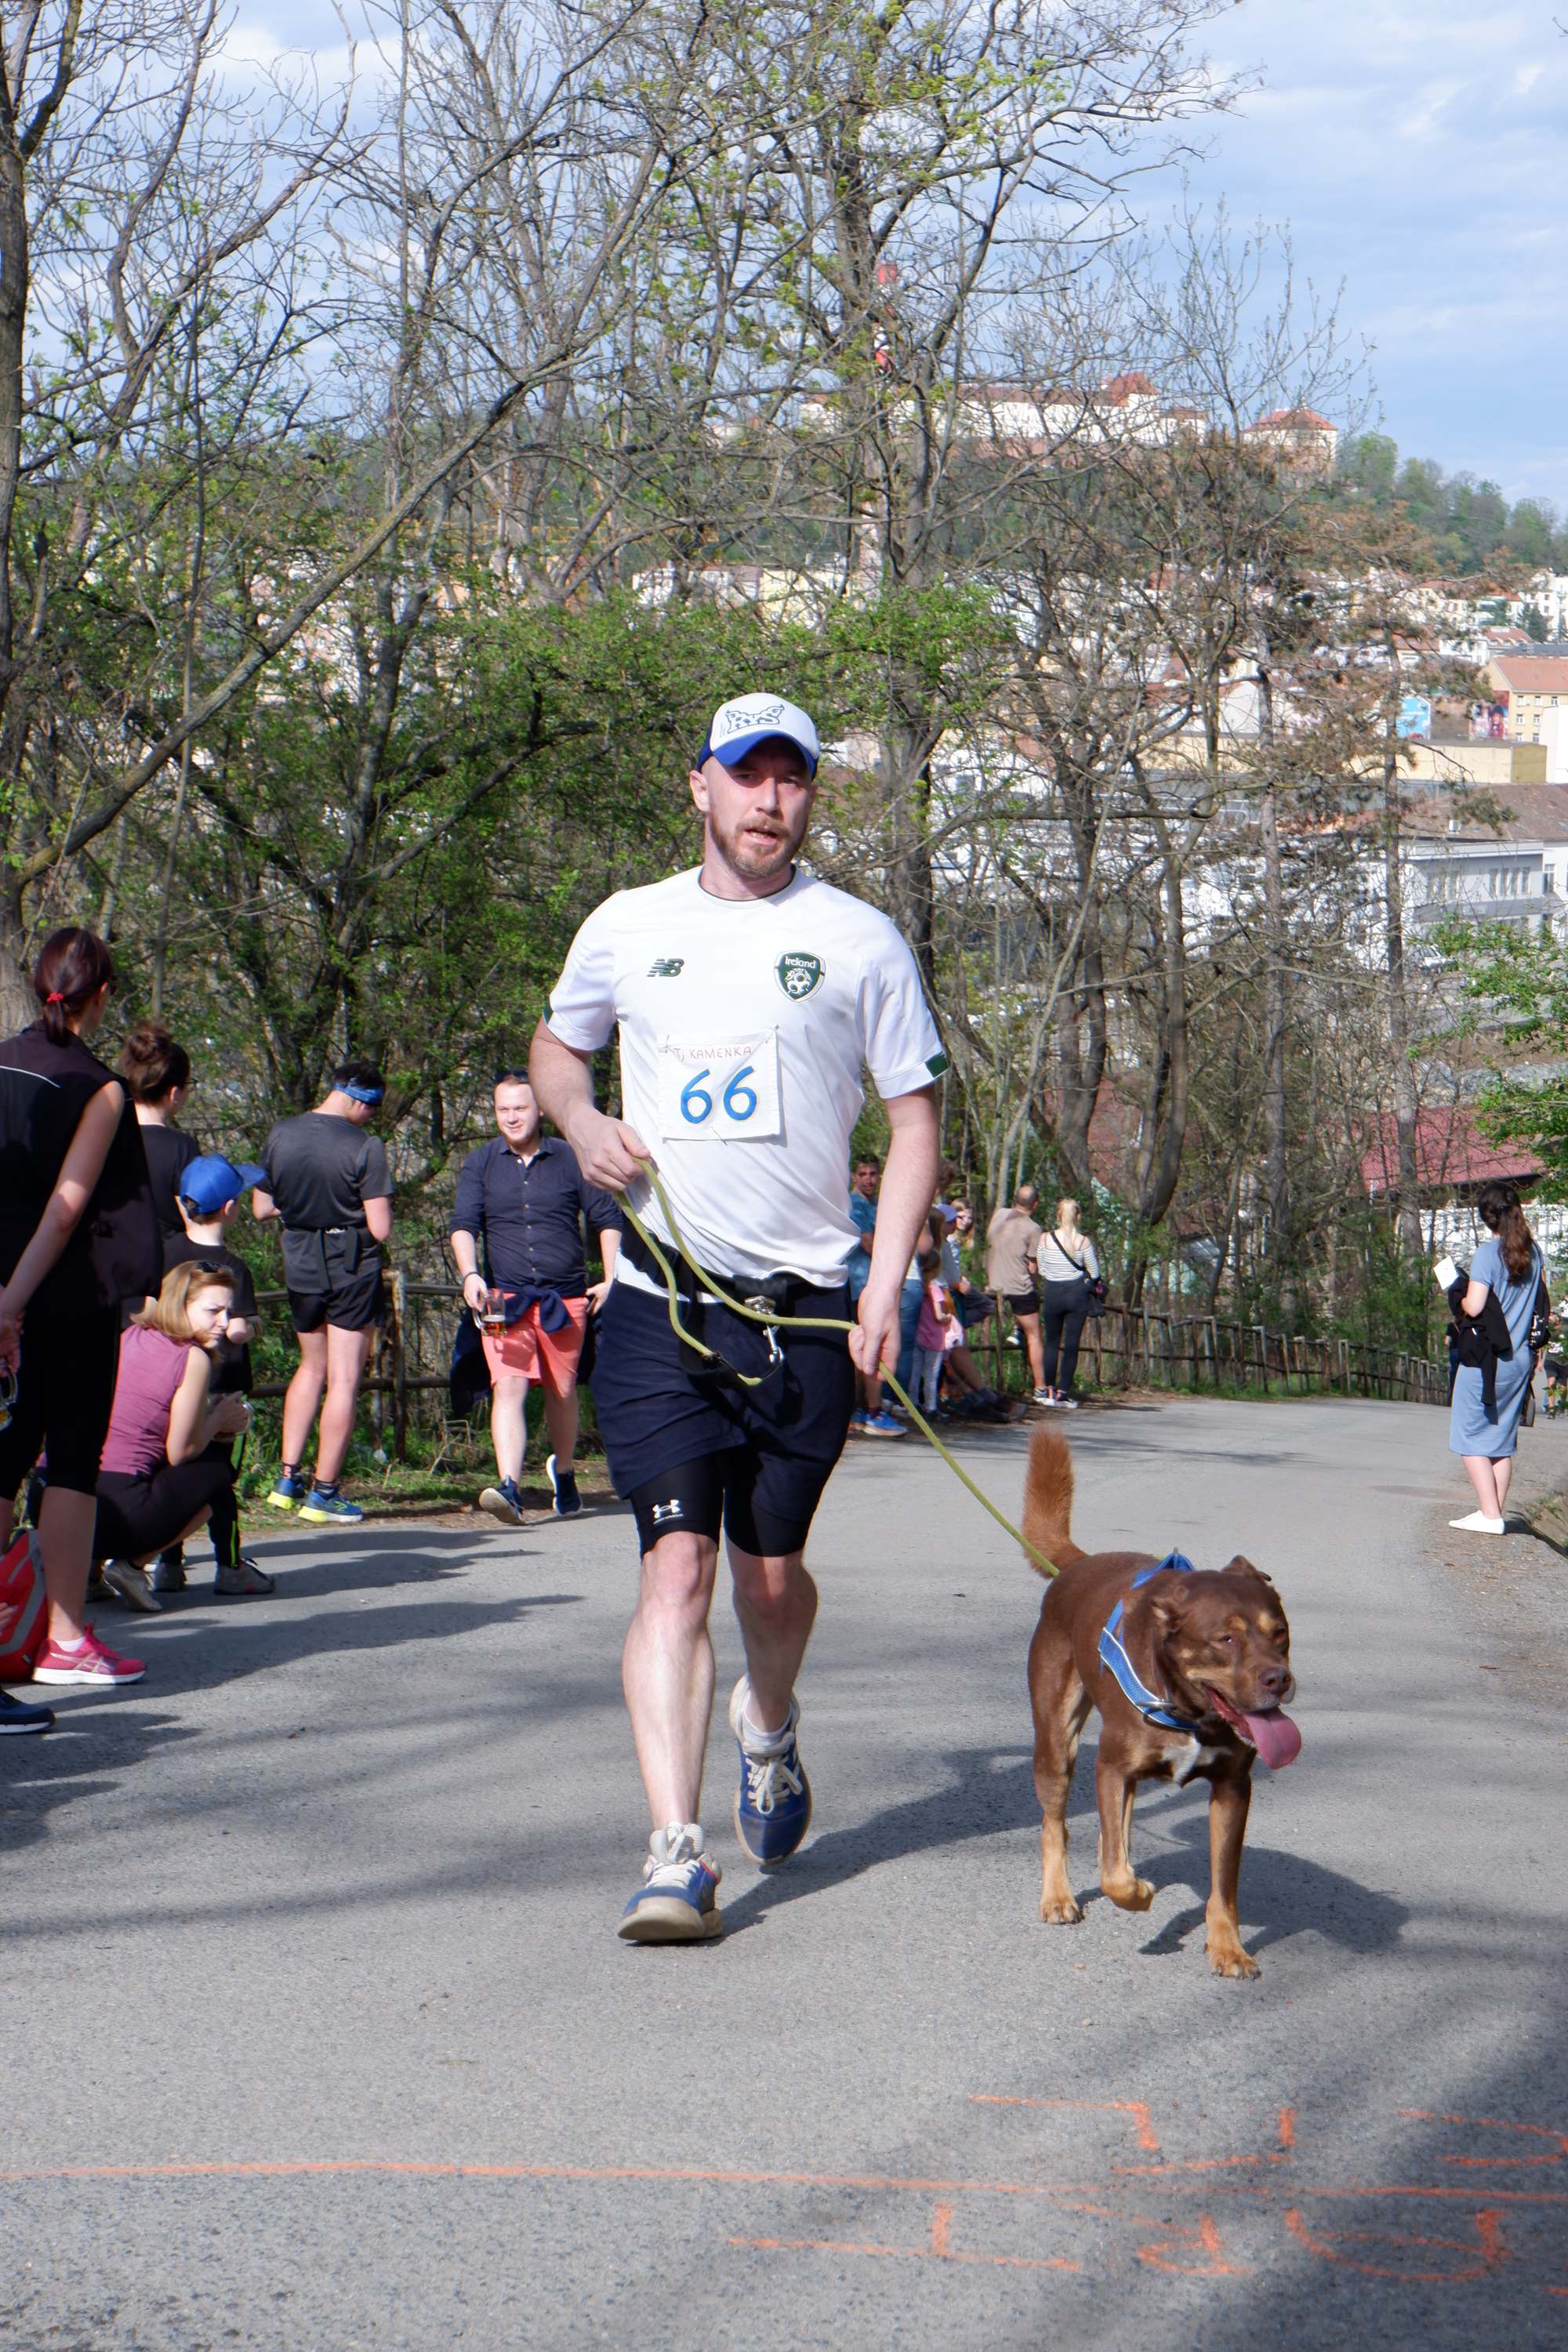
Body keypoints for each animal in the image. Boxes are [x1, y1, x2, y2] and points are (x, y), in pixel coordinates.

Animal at [1021, 1427, 1300, 1979]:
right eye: (1225, 1640)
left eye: (1279, 1632)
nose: (1279, 1680)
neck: (1190, 1712)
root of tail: (1077, 1566)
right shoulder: (1110, 1767)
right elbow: (1115, 1877)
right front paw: (1138, 1893)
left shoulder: (1233, 1787)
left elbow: (1223, 1887)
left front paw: (1228, 1947)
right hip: (1057, 1743)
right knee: (1055, 1825)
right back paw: (1058, 1897)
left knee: (1114, 1832)